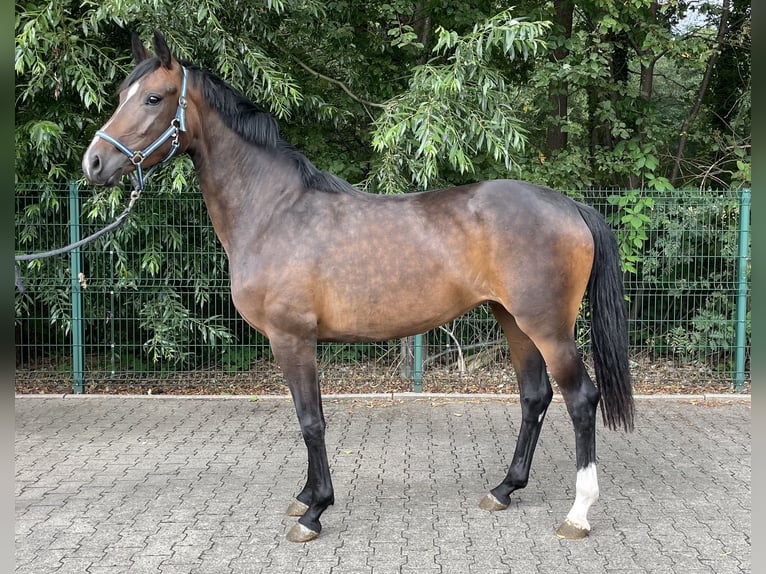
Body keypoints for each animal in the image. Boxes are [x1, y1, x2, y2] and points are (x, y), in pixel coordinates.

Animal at [82, 30, 634, 543]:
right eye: (121, 94)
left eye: (154, 98)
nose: (93, 163)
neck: (274, 212)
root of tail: (569, 205)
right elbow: (307, 418)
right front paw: (306, 496)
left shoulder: (292, 338)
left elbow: (311, 421)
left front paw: (314, 512)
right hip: (513, 320)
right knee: (535, 397)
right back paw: (503, 489)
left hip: (547, 327)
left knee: (581, 398)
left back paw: (578, 513)